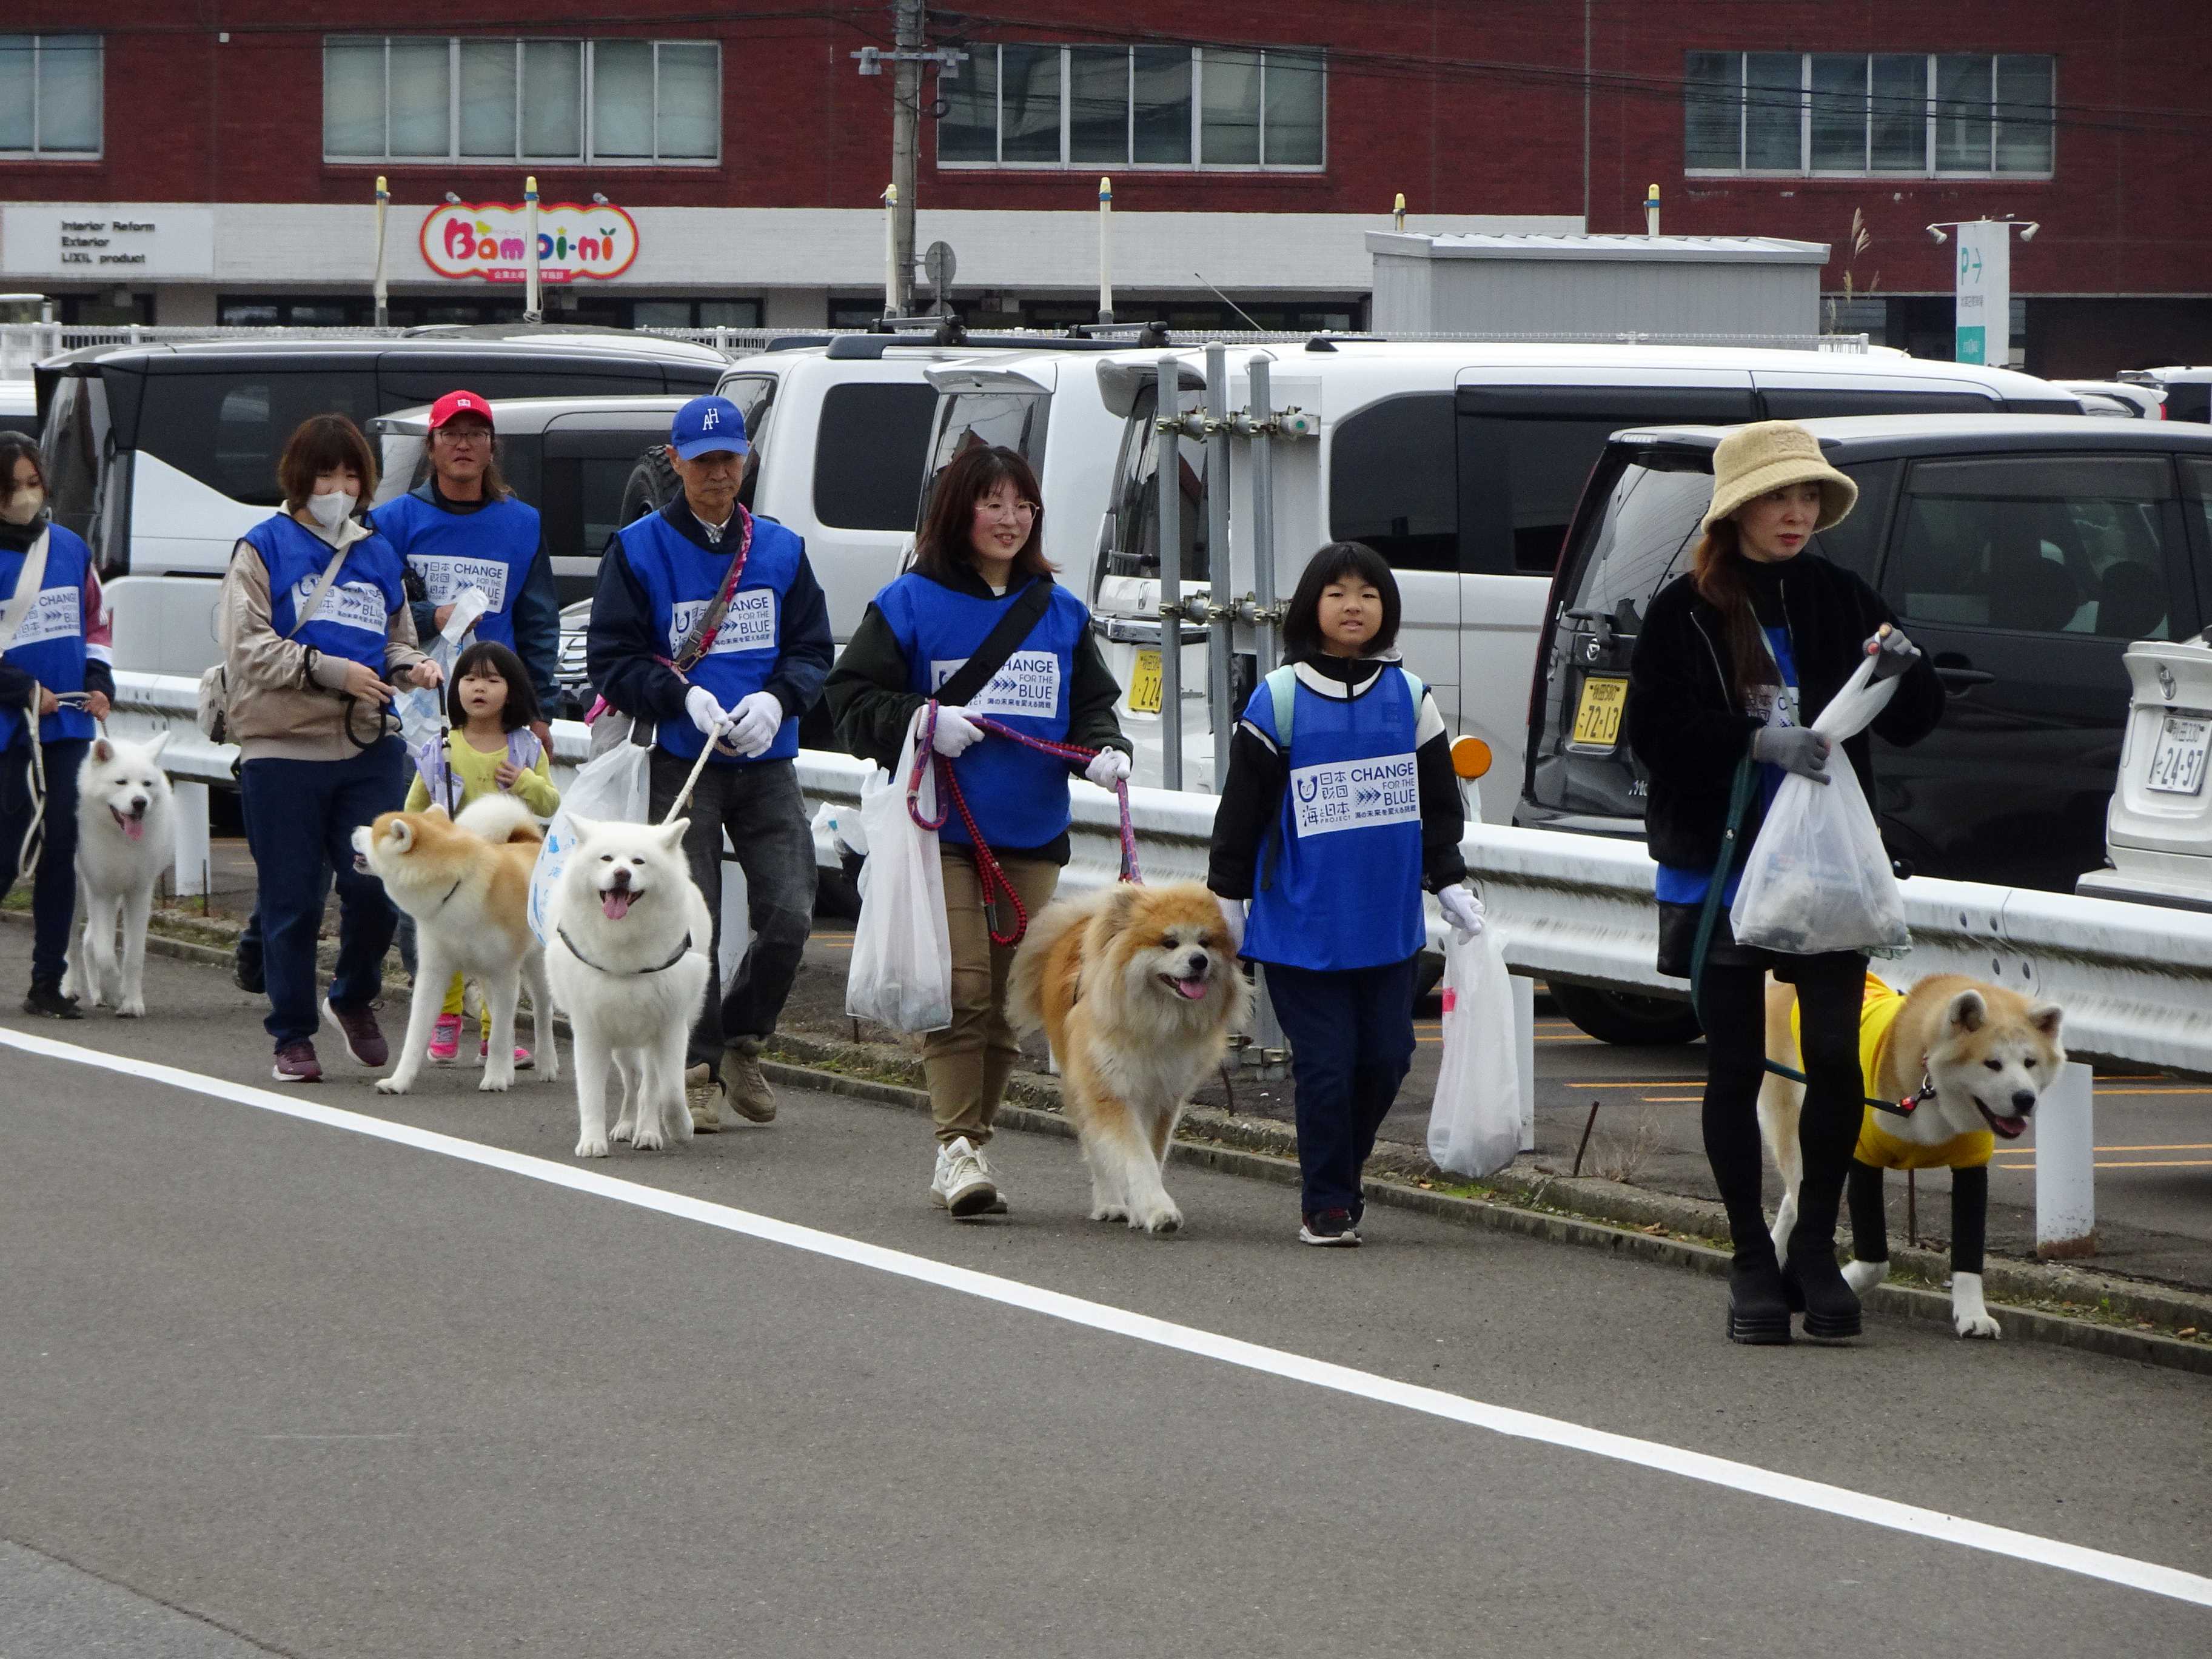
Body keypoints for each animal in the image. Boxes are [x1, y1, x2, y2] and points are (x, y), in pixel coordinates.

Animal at [1013, 885, 1256, 1238]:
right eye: (1170, 942)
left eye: (1205, 942)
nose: (1199, 961)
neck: (1155, 1020)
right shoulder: (1110, 1091)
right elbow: (1135, 1158)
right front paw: (1157, 1210)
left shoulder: (1164, 1096)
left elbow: (1153, 1154)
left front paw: (1144, 1209)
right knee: (1097, 1154)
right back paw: (1110, 1205)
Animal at [1752, 982, 2061, 1344]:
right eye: (1992, 1064)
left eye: (2030, 1063)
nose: (2026, 1099)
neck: (1930, 1093)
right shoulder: (1864, 1160)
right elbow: (1875, 1264)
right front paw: (1830, 1289)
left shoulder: (1972, 1168)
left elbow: (1969, 1258)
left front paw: (1973, 1315)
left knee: (1794, 1200)